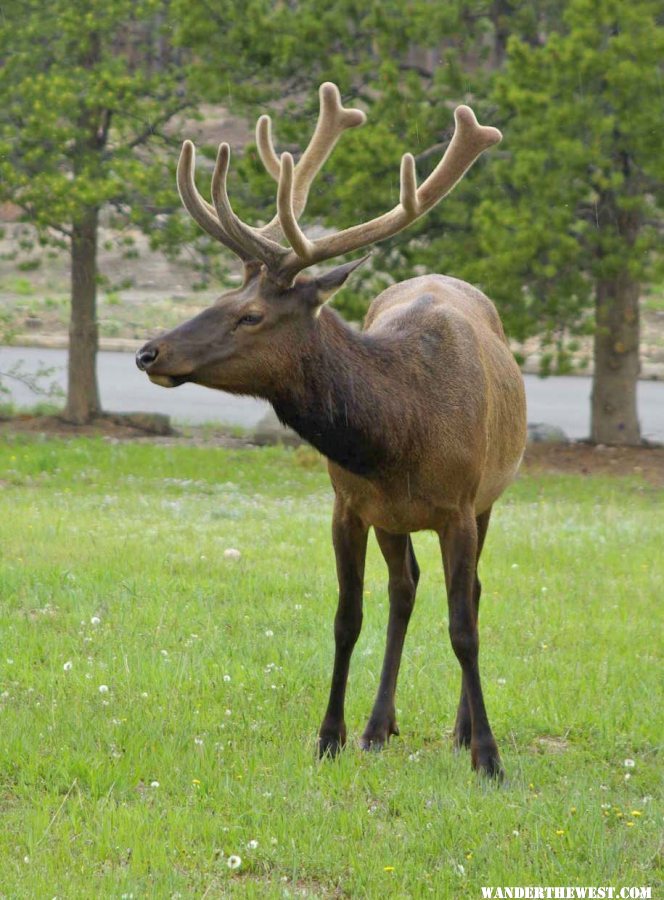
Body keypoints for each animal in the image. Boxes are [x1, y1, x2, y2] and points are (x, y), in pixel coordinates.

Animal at [137, 81, 528, 776]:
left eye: (251, 315)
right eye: (219, 299)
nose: (148, 352)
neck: (400, 435)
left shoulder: (459, 506)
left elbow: (464, 627)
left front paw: (488, 756)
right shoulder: (348, 504)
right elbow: (348, 618)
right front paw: (330, 736)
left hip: (489, 497)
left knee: (472, 592)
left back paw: (457, 729)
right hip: (395, 521)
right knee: (404, 591)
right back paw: (379, 725)